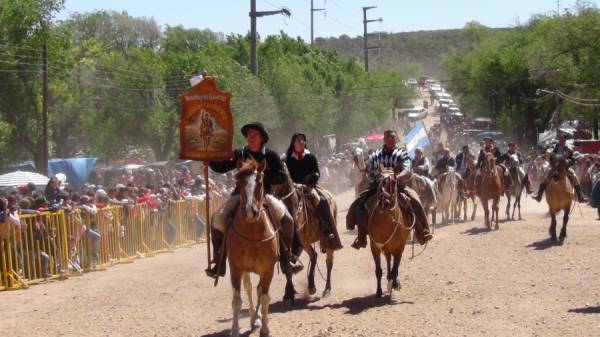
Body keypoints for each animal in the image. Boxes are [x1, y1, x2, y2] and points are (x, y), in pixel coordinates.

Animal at [227, 158, 278, 336]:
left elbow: (264, 296)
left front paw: (265, 328)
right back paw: (252, 318)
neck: (253, 235)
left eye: (260, 182)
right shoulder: (235, 268)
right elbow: (236, 300)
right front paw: (235, 329)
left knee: (258, 290)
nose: (251, 211)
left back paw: (256, 318)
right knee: (248, 288)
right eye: (239, 183)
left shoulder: (268, 269)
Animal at [366, 165, 412, 296]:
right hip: (385, 248)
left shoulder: (399, 248)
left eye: (394, 181)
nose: (383, 203)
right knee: (387, 259)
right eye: (377, 181)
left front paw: (395, 284)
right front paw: (379, 291)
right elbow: (378, 270)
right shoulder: (375, 248)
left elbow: (395, 269)